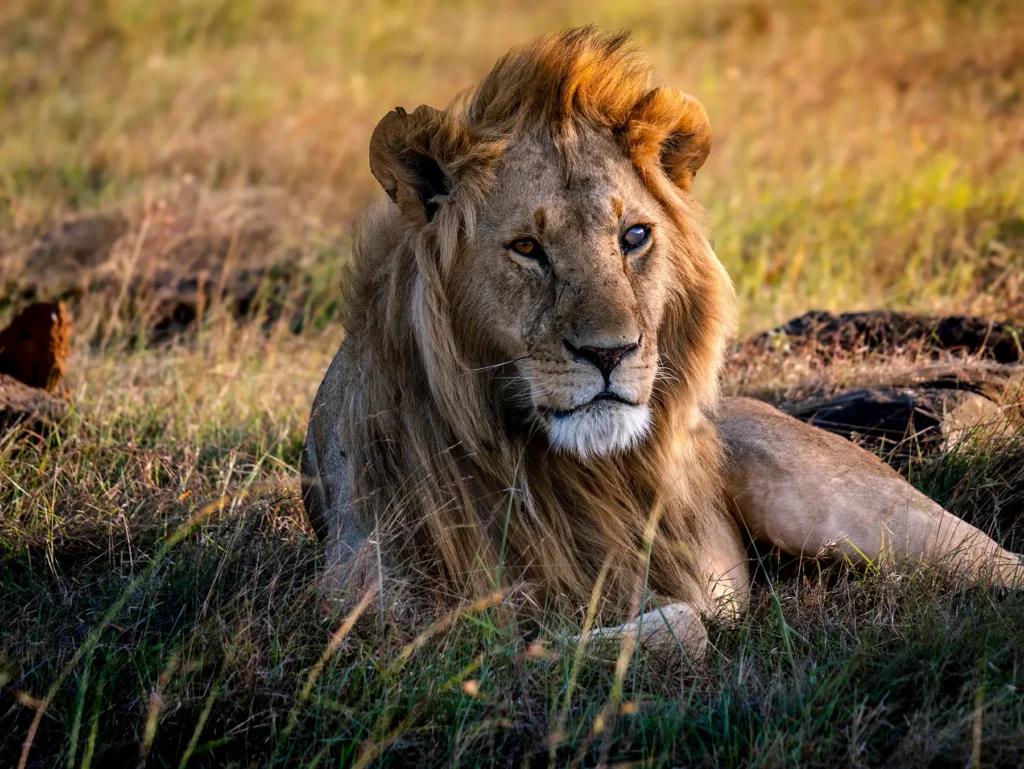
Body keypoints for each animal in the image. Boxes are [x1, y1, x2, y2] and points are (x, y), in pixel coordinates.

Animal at [302, 27, 1023, 656]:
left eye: (635, 236)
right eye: (528, 248)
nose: (610, 353)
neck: (558, 468)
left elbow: (685, 624)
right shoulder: (365, 609)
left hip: (834, 503)